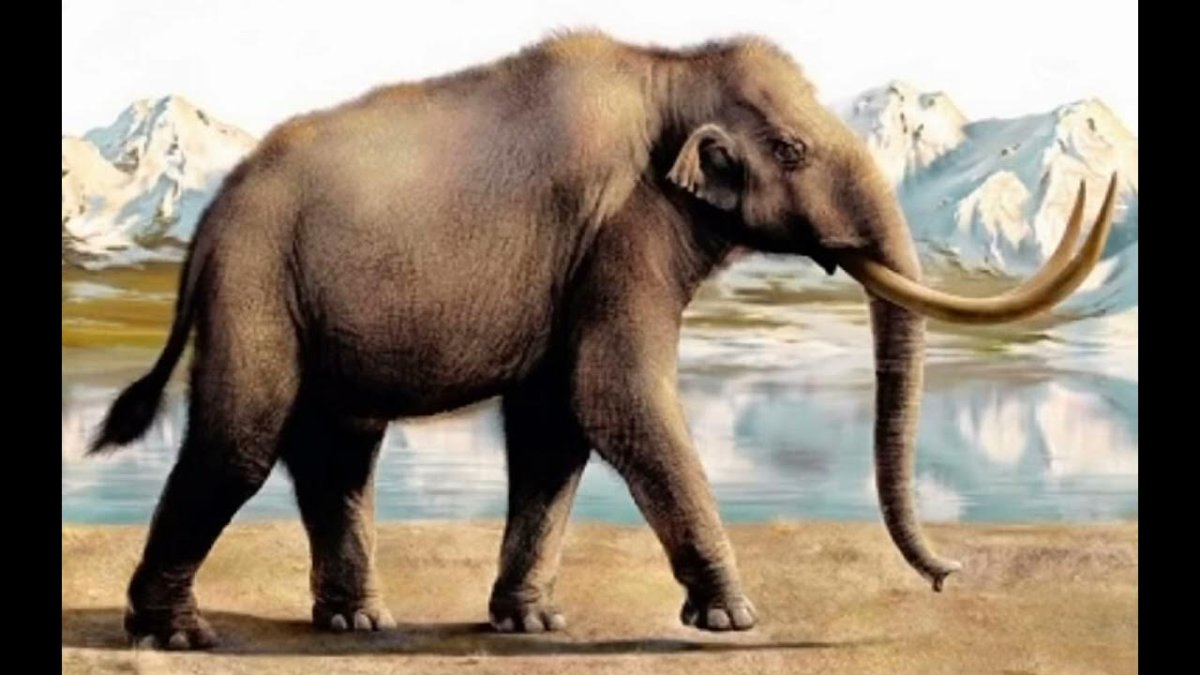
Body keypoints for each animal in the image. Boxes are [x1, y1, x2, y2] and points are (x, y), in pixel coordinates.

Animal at [88, 30, 1115, 649]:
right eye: (791, 151)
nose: (950, 575)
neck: (675, 69)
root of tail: (210, 222)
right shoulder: (625, 227)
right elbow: (612, 394)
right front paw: (735, 618)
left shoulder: (588, 255)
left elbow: (556, 423)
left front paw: (534, 625)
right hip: (257, 282)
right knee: (244, 436)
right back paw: (175, 634)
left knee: (339, 447)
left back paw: (359, 623)